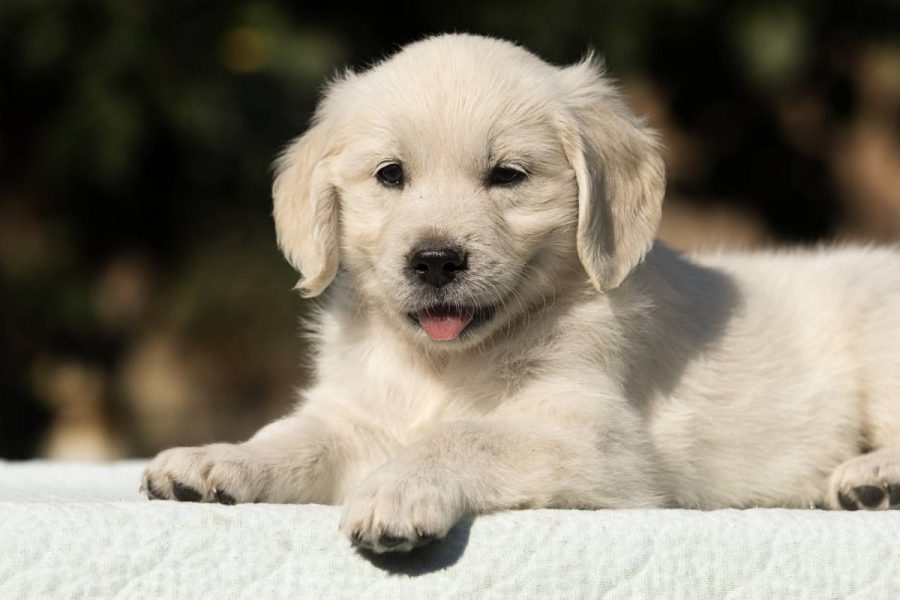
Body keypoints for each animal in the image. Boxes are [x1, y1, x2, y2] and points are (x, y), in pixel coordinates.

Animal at [142, 32, 900, 552]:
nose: (435, 260)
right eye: (390, 175)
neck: (444, 364)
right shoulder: (356, 414)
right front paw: (215, 459)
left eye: (506, 175)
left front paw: (395, 492)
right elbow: (291, 437)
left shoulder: (600, 444)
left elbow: (466, 436)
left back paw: (872, 478)